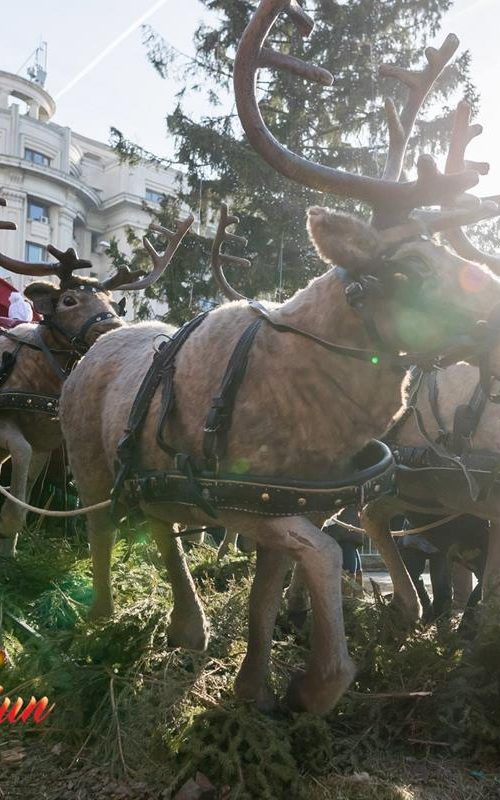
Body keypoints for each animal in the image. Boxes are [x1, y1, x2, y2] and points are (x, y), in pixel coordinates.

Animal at [0, 213, 193, 558]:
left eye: (113, 304)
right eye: (68, 299)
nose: (113, 327)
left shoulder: (45, 442)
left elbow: (26, 489)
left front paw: (9, 549)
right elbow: (19, 458)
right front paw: (7, 527)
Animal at [58, 0, 500, 715]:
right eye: (410, 268)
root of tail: (95, 345)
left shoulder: (294, 504)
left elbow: (266, 595)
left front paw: (254, 686)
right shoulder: (240, 498)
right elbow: (322, 555)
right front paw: (316, 684)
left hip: (157, 475)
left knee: (159, 523)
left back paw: (190, 628)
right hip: (88, 460)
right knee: (102, 529)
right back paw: (100, 620)